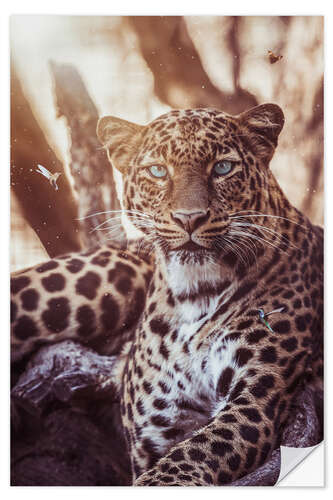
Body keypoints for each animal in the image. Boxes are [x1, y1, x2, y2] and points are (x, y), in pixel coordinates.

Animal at [11, 103, 322, 486]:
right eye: (158, 171)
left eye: (222, 167)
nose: (189, 218)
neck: (195, 295)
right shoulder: (158, 428)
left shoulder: (256, 401)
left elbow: (186, 458)